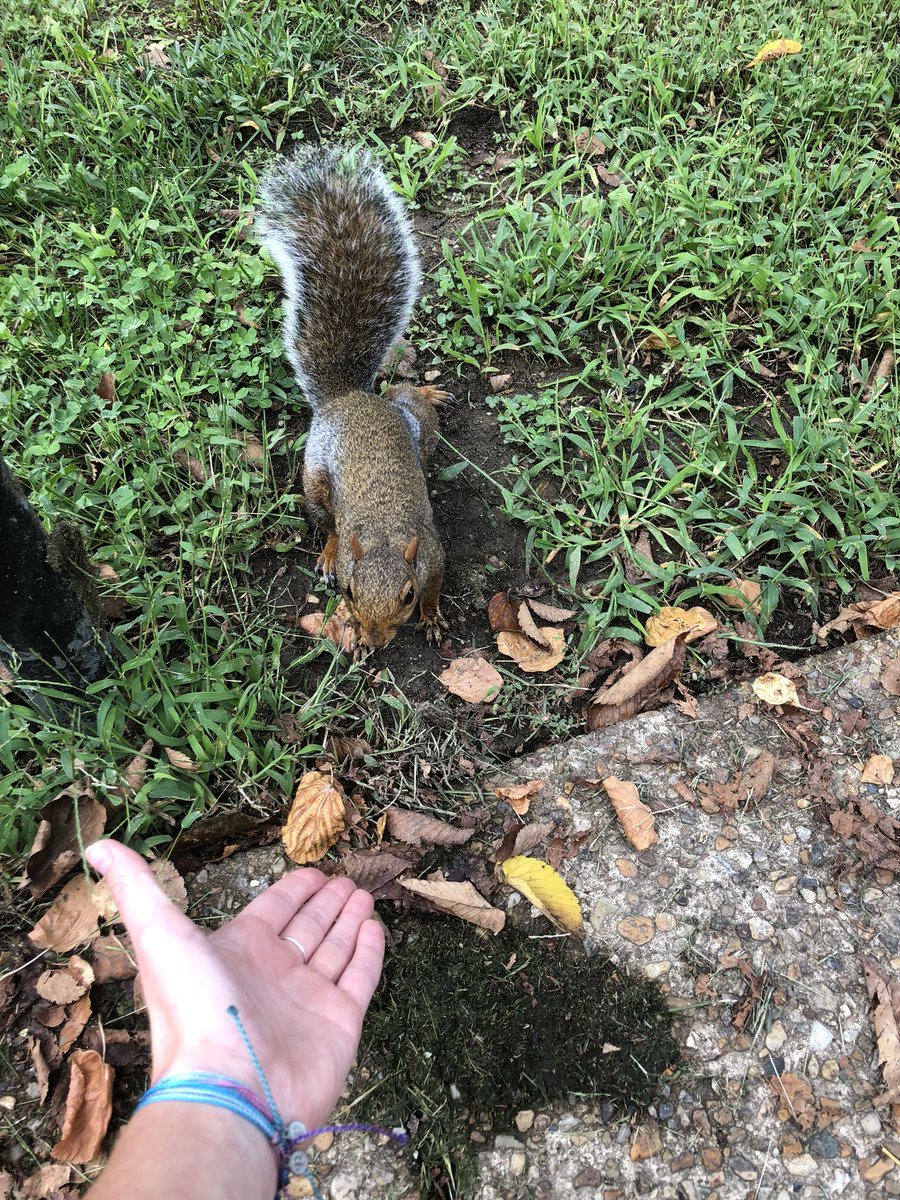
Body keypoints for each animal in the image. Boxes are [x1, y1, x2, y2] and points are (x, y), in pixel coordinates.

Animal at [257, 145, 449, 655]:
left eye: (407, 596)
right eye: (348, 590)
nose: (378, 638)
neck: (381, 536)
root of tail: (346, 398)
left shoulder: (433, 555)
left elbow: (436, 586)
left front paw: (432, 617)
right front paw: (358, 637)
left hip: (418, 430)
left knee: (407, 400)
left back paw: (425, 392)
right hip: (315, 476)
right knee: (325, 522)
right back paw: (325, 551)